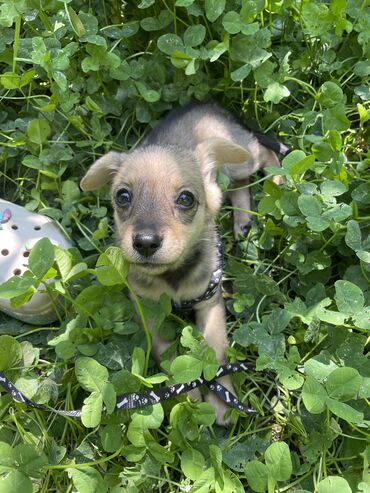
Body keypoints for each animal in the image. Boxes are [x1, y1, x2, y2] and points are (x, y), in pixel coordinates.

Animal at [79, 103, 284, 422]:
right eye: (122, 196)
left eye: (186, 199)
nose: (145, 242)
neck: (173, 277)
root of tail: (207, 105)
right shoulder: (149, 314)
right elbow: (170, 359)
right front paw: (190, 396)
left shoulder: (211, 305)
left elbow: (216, 356)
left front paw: (222, 400)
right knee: (239, 184)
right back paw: (243, 220)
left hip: (242, 157)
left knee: (266, 153)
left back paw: (279, 180)